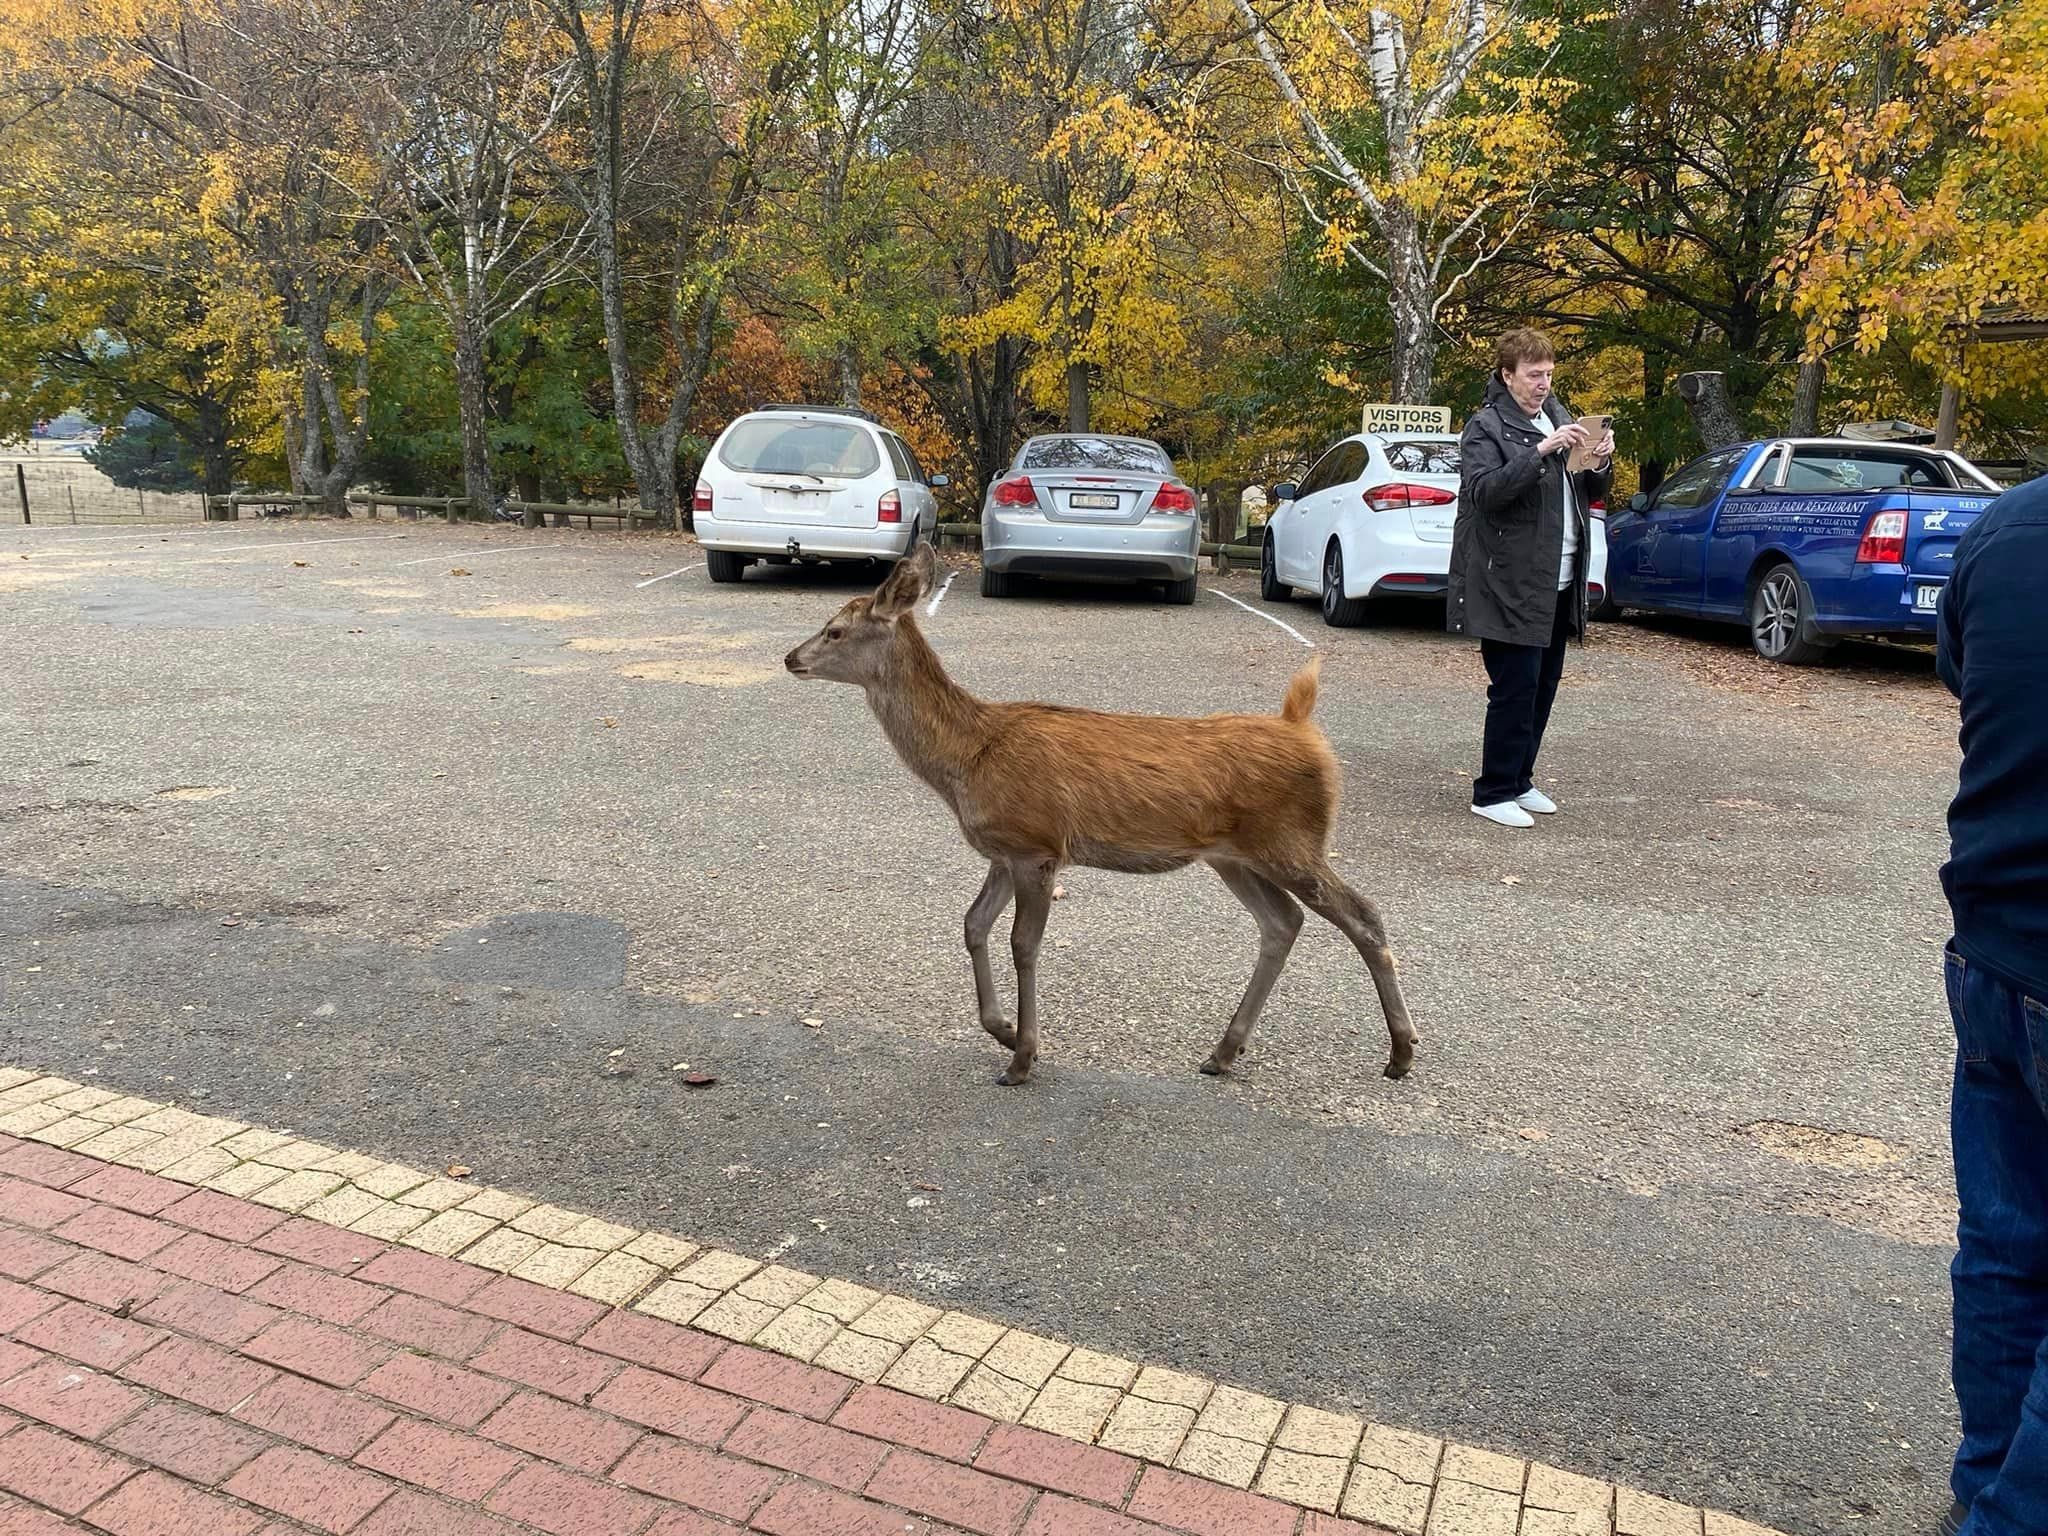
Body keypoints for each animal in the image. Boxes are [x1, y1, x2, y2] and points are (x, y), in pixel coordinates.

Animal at [782, 548, 1425, 1089]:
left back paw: (1400, 1052)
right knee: (1283, 922)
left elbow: (1022, 943)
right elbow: (972, 925)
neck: (968, 757)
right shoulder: (1004, 849)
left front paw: (1023, 1058)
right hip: (1233, 856)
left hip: (1292, 840)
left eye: (834, 630)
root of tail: (1305, 730)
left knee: (1363, 915)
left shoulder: (1038, 843)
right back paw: (1223, 1052)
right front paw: (1004, 1031)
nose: (790, 658)